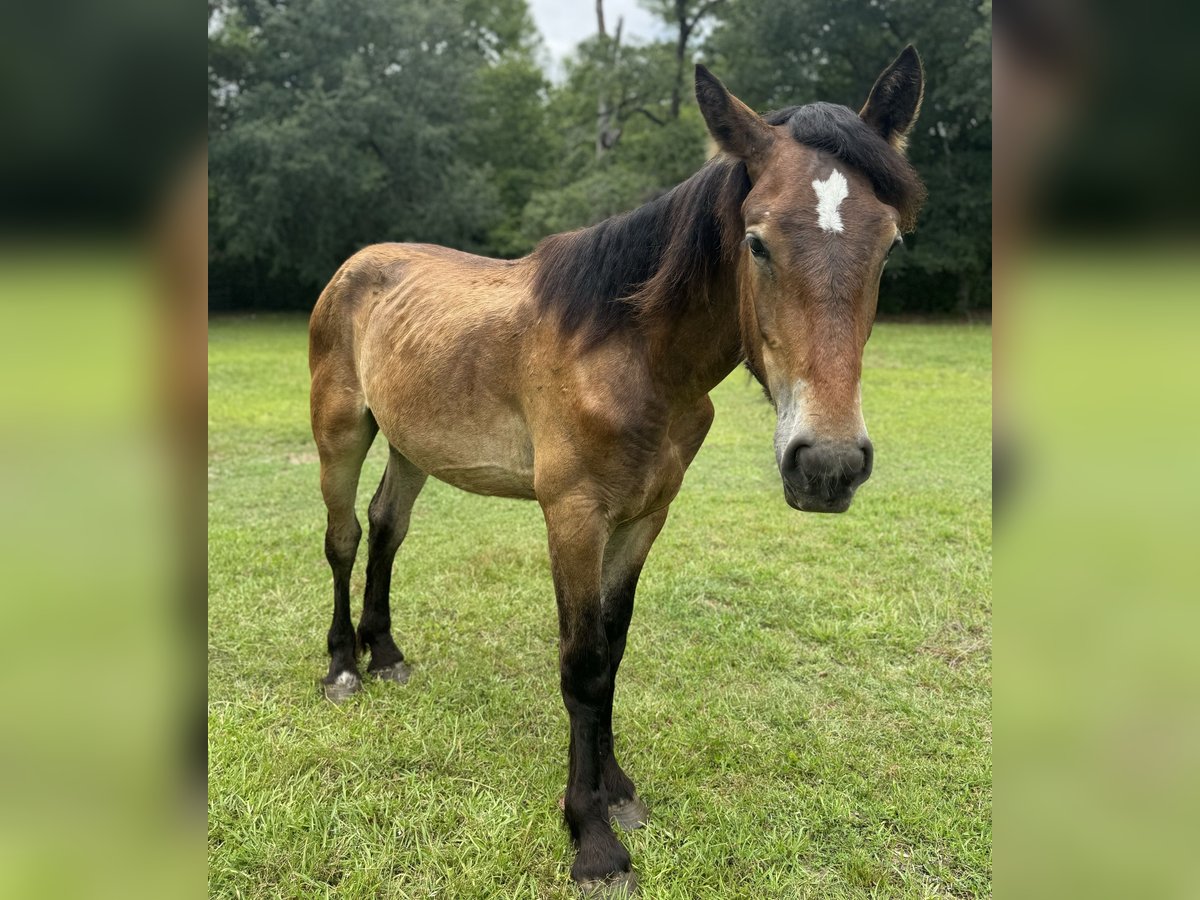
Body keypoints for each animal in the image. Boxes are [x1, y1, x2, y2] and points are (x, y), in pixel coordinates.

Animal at [309, 47, 926, 897]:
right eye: (758, 242)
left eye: (889, 244)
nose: (828, 464)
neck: (630, 352)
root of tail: (355, 266)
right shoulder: (573, 517)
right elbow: (582, 663)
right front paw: (592, 839)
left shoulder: (642, 517)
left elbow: (615, 646)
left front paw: (618, 791)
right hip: (340, 432)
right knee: (341, 539)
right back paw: (343, 667)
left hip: (410, 447)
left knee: (385, 528)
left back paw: (387, 654)